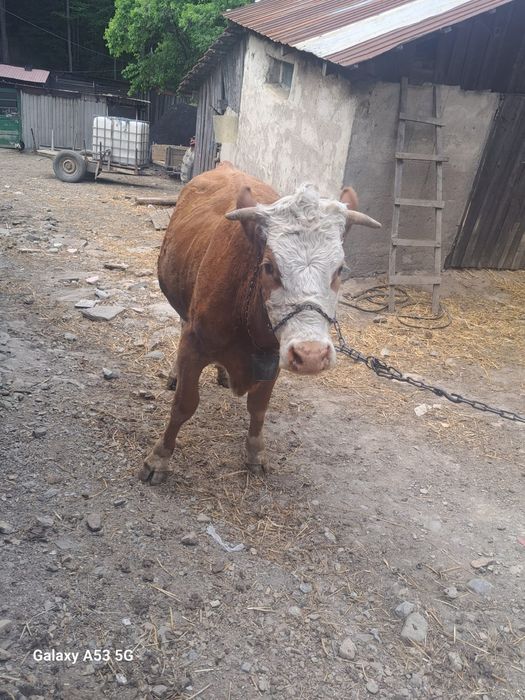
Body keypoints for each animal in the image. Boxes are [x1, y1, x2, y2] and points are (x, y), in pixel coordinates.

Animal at [139, 162, 380, 485]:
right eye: (268, 266)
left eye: (340, 269)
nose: (311, 355)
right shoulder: (193, 342)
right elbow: (183, 405)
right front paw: (159, 459)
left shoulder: (274, 356)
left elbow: (258, 408)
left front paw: (255, 453)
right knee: (179, 324)